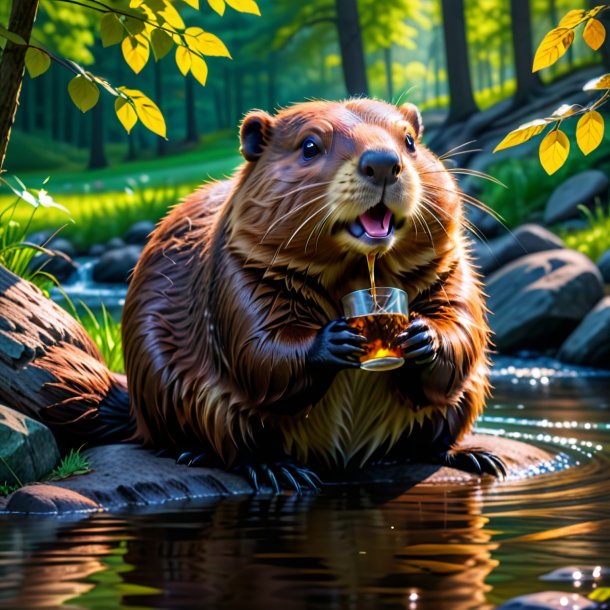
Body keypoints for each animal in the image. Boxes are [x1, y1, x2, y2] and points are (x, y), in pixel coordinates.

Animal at [120, 100, 504, 490]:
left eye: (410, 140)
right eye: (309, 146)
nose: (383, 162)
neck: (357, 270)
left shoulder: (451, 265)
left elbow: (462, 324)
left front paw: (422, 335)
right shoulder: (237, 270)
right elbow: (257, 352)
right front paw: (335, 340)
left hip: (465, 399)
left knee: (429, 438)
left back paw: (475, 456)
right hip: (178, 395)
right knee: (232, 443)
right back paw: (267, 468)